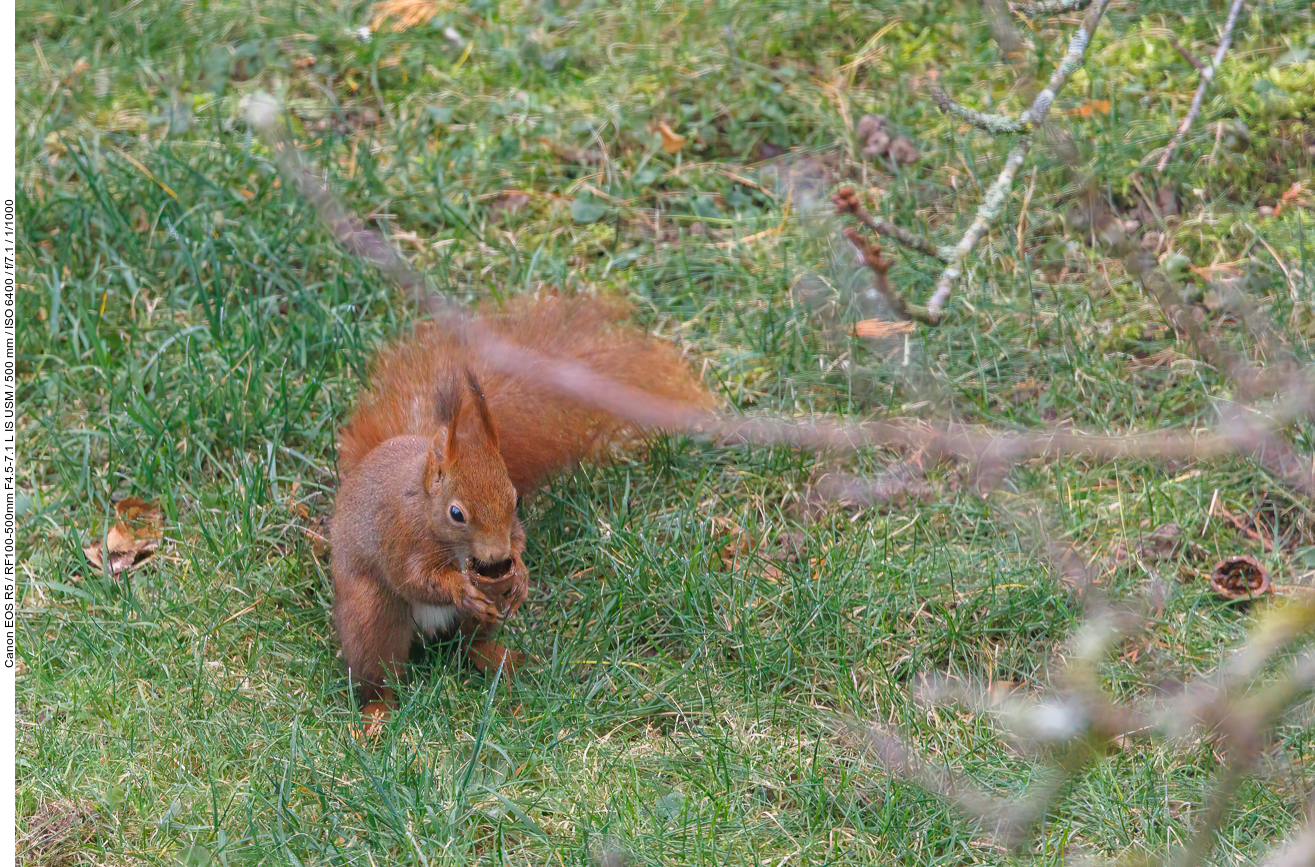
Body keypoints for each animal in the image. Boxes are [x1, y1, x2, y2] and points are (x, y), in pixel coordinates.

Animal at [334, 294, 715, 731]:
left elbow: (519, 542)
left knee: (468, 644)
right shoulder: (399, 535)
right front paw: (459, 587)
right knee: (378, 666)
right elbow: (414, 577)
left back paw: (501, 658)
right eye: (456, 513)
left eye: (515, 500)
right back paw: (377, 712)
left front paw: (522, 575)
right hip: (372, 614)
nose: (498, 557)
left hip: (481, 618)